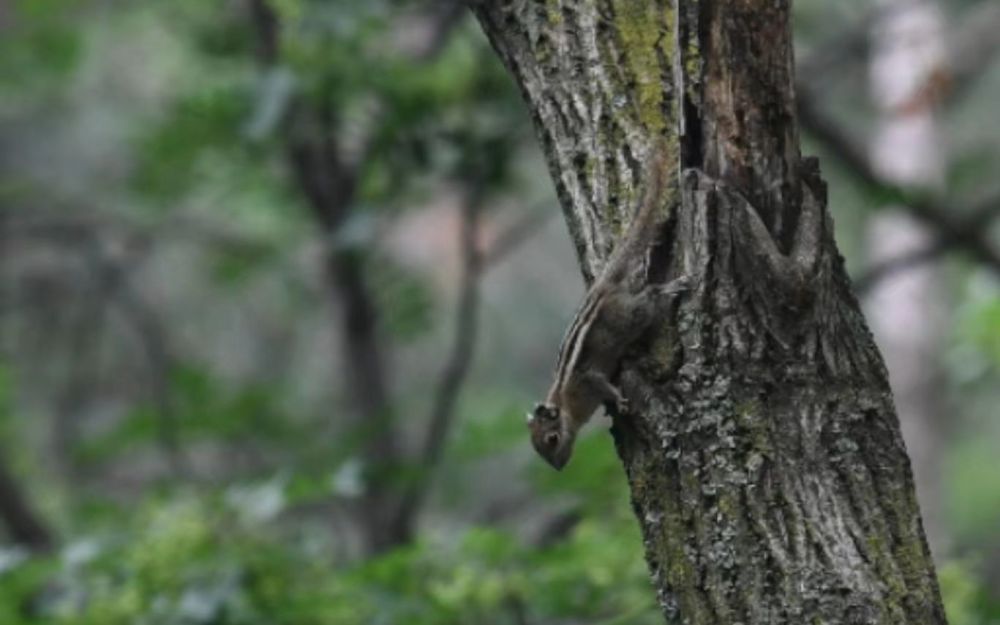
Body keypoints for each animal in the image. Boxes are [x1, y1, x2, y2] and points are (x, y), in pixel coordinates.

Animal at [532, 146, 688, 468]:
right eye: (537, 449)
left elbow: (605, 385)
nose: (558, 467)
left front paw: (619, 400)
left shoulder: (589, 379)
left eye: (551, 439)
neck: (565, 403)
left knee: (649, 297)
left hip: (630, 316)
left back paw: (669, 289)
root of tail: (603, 286)